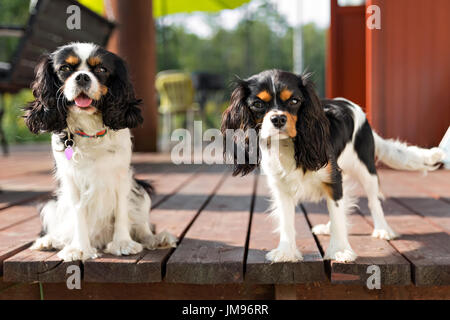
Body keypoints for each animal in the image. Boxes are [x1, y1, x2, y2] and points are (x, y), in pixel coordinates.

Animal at [23, 42, 177, 262]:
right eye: (65, 68)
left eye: (102, 70)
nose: (82, 77)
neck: (90, 129)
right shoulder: (72, 180)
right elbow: (78, 212)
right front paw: (79, 248)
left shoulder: (122, 176)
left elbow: (121, 210)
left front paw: (123, 243)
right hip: (52, 204)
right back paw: (50, 240)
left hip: (141, 190)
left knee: (144, 226)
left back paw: (156, 239)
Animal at [220, 69, 444, 262]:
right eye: (258, 104)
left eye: (294, 101)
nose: (278, 119)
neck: (289, 145)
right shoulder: (281, 187)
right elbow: (287, 220)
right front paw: (286, 252)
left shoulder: (332, 178)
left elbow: (337, 215)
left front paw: (340, 250)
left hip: (366, 169)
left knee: (373, 200)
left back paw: (383, 229)